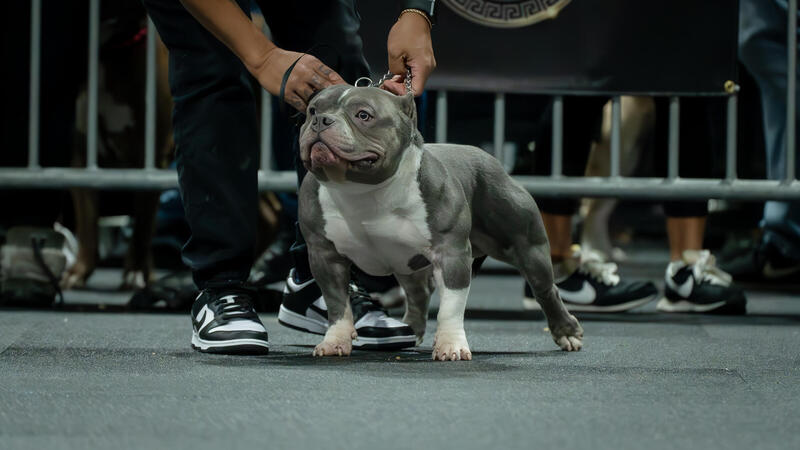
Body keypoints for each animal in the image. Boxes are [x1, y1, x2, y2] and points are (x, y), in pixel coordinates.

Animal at [297, 85, 584, 360]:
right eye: (312, 110)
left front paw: (451, 345)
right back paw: (410, 330)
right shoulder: (325, 256)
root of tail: (491, 159)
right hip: (405, 261)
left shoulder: (451, 253)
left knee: (546, 289)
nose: (321, 121)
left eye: (363, 115)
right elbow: (337, 304)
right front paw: (334, 341)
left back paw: (567, 332)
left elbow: (451, 306)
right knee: (418, 293)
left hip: (526, 247)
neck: (362, 190)